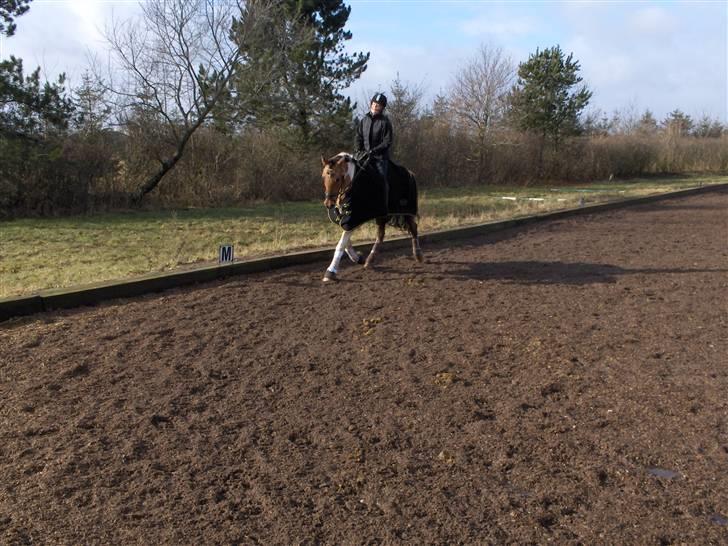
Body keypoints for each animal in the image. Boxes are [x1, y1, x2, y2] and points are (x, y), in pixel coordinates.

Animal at [322, 151, 424, 282]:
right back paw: (370, 260)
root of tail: (410, 173)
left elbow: (341, 244)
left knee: (413, 228)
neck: (352, 184)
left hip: (406, 211)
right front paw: (357, 258)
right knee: (381, 235)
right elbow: (346, 243)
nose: (328, 204)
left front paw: (330, 272)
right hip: (382, 216)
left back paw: (418, 255)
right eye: (323, 177)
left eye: (337, 178)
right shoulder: (347, 220)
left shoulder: (353, 218)